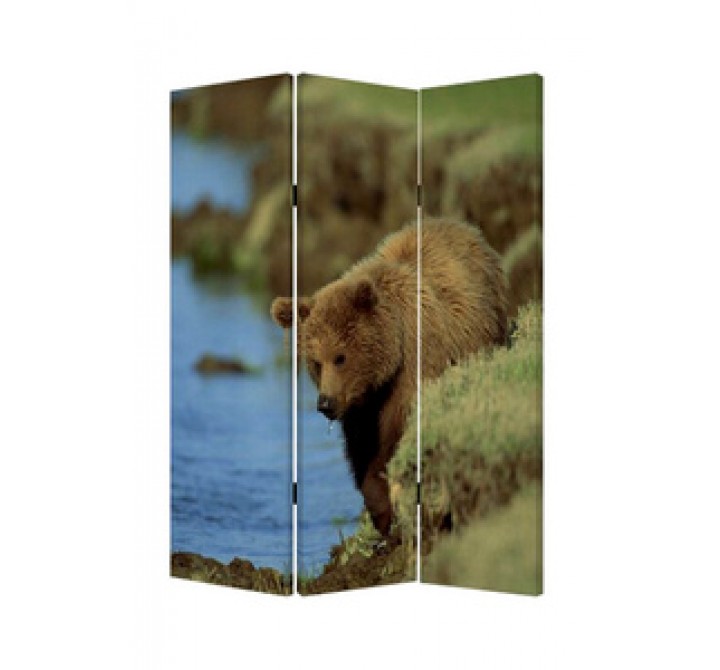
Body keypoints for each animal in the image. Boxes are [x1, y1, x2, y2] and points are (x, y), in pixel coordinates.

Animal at [271, 219, 508, 535]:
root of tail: (464, 228)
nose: (325, 403)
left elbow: (397, 436)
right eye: (315, 362)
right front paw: (381, 511)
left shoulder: (414, 369)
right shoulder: (360, 407)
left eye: (340, 357)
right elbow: (362, 449)